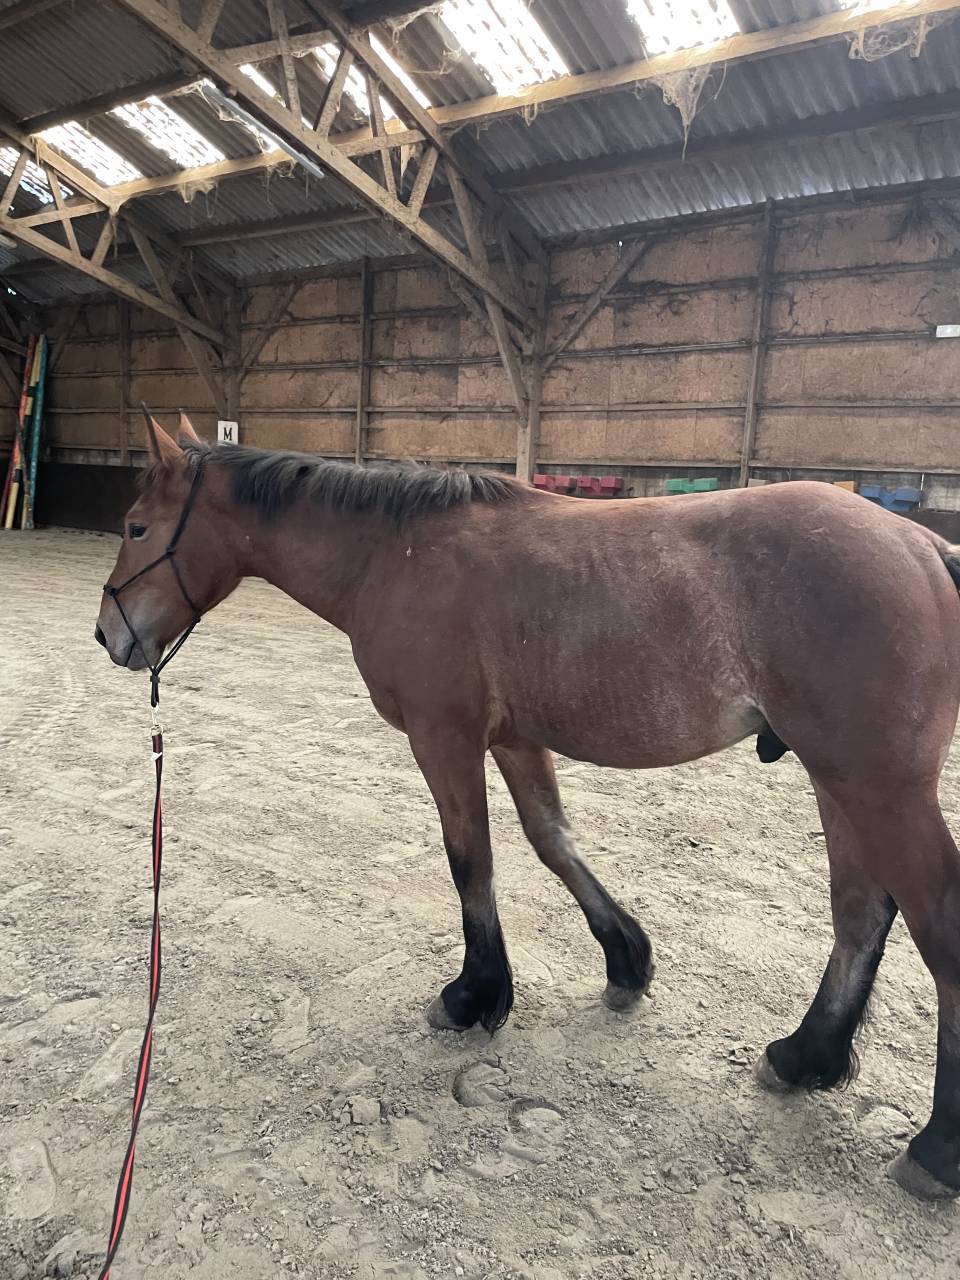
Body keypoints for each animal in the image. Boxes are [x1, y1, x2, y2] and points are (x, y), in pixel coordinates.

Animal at [95, 412, 960, 1201]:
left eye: (137, 526)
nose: (109, 635)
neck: (394, 556)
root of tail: (922, 547)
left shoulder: (444, 738)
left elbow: (469, 859)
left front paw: (475, 995)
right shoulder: (514, 740)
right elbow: (552, 840)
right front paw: (625, 962)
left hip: (874, 784)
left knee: (931, 927)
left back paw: (934, 1149)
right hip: (840, 780)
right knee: (860, 914)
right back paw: (805, 1057)